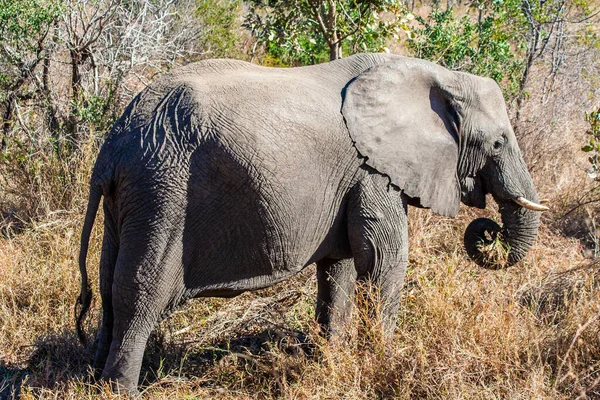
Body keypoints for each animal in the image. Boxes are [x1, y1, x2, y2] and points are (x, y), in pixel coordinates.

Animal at [76, 53, 548, 394]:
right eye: (498, 142)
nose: (487, 229)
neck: (437, 74)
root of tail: (114, 143)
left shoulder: (351, 181)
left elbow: (338, 266)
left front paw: (331, 356)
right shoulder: (371, 170)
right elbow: (383, 260)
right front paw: (381, 360)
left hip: (131, 200)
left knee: (107, 281)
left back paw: (91, 379)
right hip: (163, 190)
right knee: (140, 289)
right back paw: (118, 390)